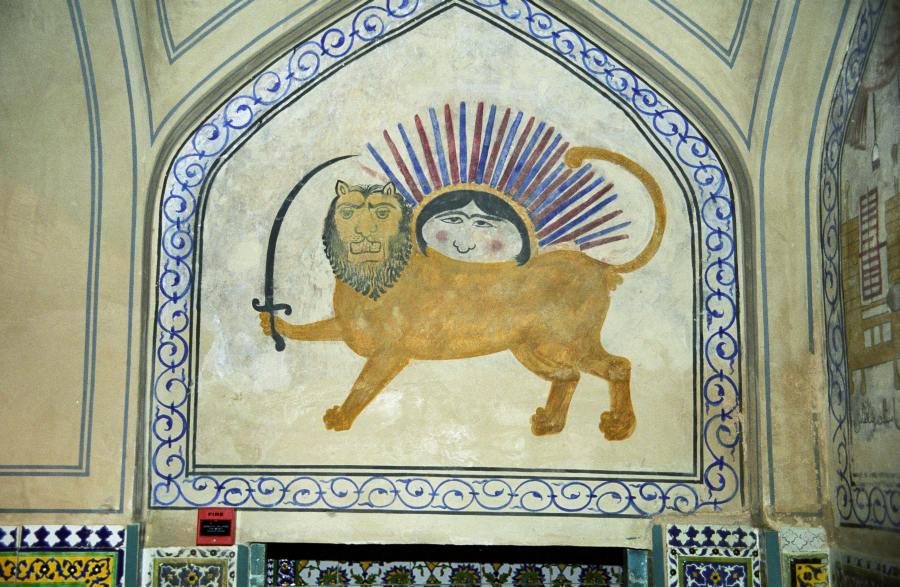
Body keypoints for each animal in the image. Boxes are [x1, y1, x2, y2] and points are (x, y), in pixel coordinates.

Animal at [260, 147, 665, 439]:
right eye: (347, 212)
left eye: (380, 213)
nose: (363, 234)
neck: (370, 277)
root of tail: (599, 265)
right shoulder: (346, 327)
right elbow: (312, 331)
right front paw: (274, 322)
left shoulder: (392, 352)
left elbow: (363, 385)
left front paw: (342, 417)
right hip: (530, 347)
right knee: (569, 376)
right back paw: (550, 424)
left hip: (568, 340)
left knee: (618, 366)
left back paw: (619, 426)